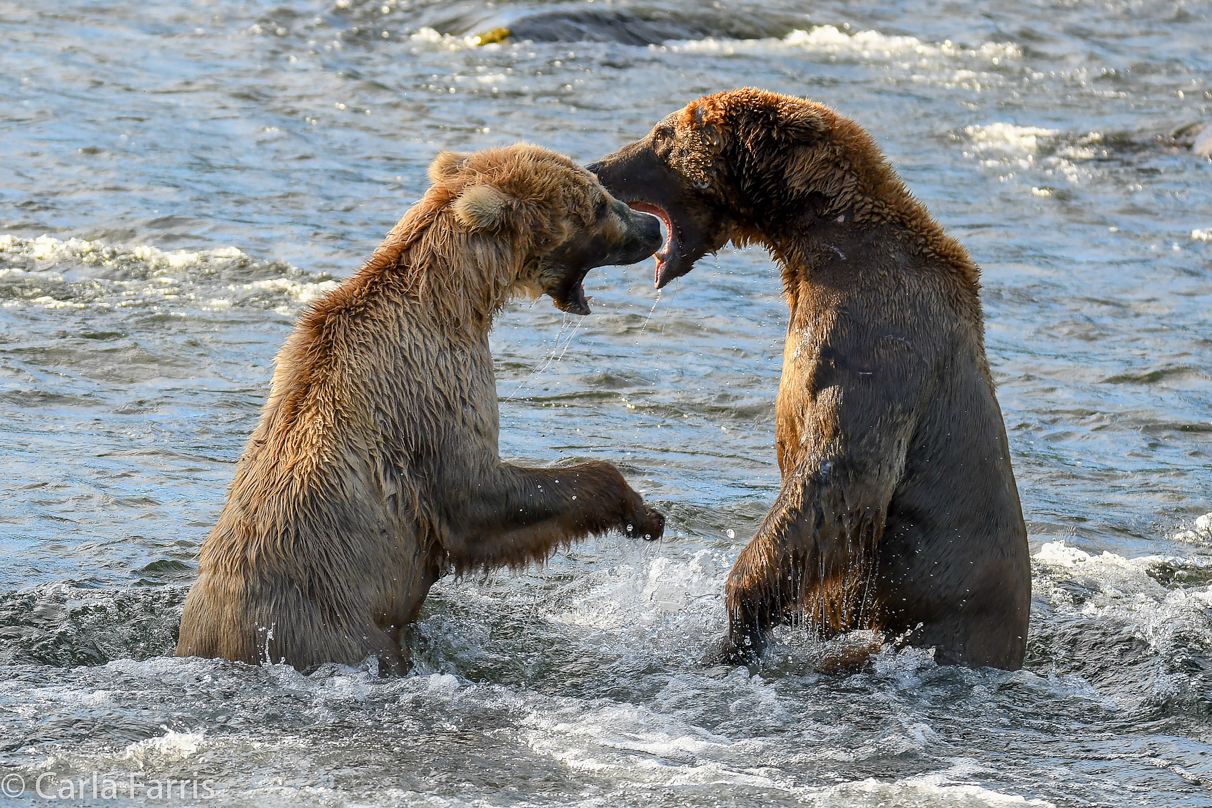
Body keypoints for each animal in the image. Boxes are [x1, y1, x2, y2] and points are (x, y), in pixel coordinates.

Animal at [174, 142, 664, 673]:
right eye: (598, 202)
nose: (652, 227)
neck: (458, 299)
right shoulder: (432, 393)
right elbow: (479, 494)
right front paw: (642, 513)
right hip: (336, 632)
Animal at [591, 87, 1027, 668]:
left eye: (662, 134)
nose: (597, 167)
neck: (816, 243)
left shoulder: (869, 336)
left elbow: (836, 472)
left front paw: (741, 619)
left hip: (946, 613)